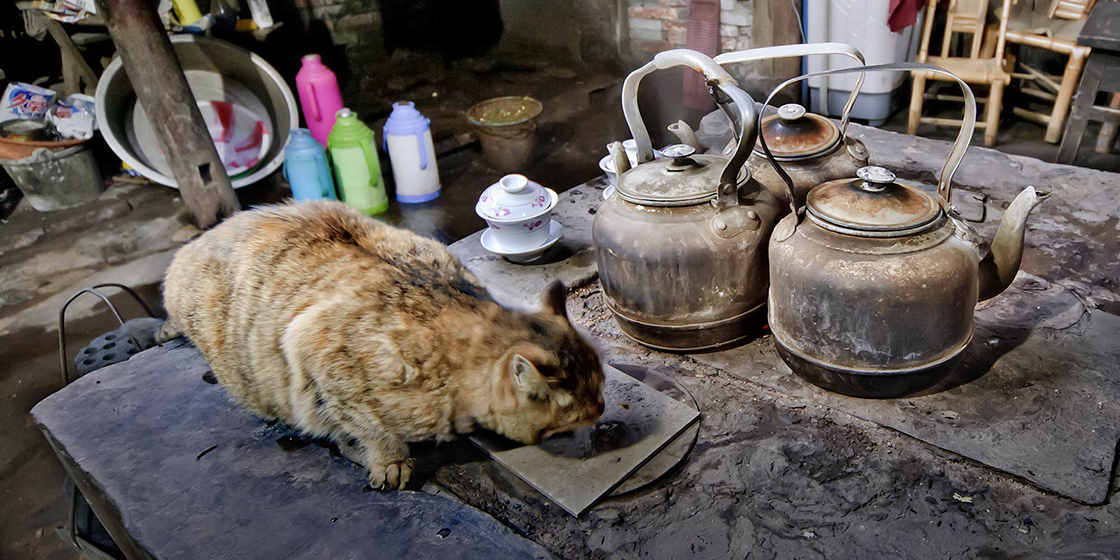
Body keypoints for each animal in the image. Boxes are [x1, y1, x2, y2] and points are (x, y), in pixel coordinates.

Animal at [157, 202, 604, 490]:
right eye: (579, 409)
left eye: (601, 386)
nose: (601, 408)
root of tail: (193, 245)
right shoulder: (323, 362)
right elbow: (370, 429)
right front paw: (390, 462)